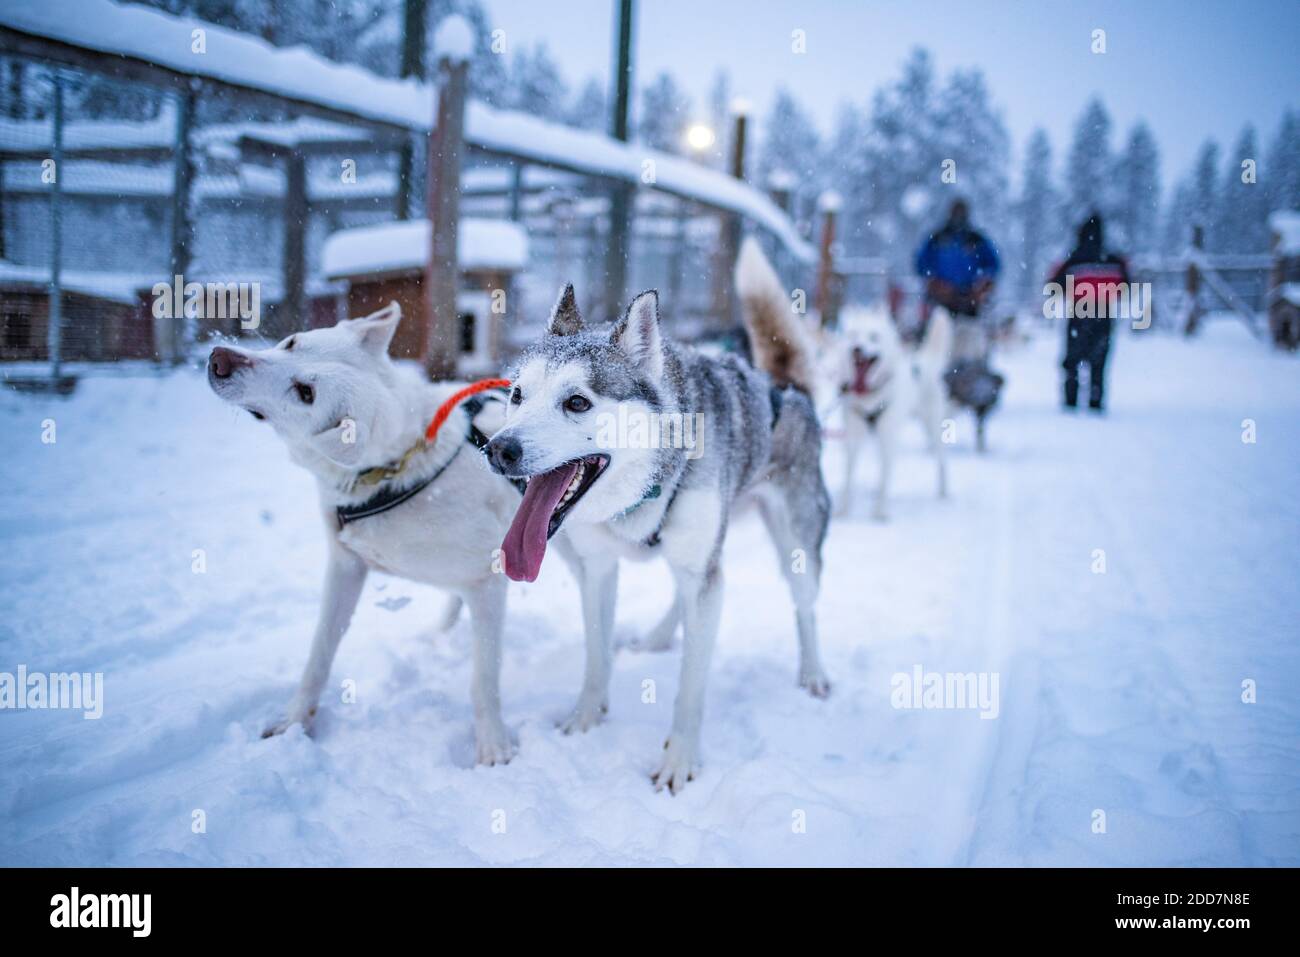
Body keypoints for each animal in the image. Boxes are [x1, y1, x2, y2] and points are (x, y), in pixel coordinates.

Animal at [205, 302, 520, 764]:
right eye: (292, 343)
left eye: (305, 393)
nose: (219, 359)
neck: (399, 468)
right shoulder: (345, 567)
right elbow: (318, 655)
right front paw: (294, 722)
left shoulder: (489, 582)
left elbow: (484, 680)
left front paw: (493, 745)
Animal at [483, 237, 826, 790]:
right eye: (517, 394)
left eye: (577, 402)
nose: (498, 450)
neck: (646, 489)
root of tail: (785, 390)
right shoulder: (600, 568)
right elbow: (596, 655)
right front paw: (585, 718)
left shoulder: (703, 575)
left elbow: (691, 687)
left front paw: (678, 761)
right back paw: (662, 635)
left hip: (797, 543)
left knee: (806, 606)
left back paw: (813, 674)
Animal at [832, 304, 956, 520]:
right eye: (853, 335)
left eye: (873, 337)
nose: (857, 348)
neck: (869, 397)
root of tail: (924, 360)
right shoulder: (853, 438)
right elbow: (849, 476)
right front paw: (844, 509)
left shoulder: (887, 439)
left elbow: (884, 478)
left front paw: (880, 511)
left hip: (935, 427)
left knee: (941, 461)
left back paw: (943, 492)